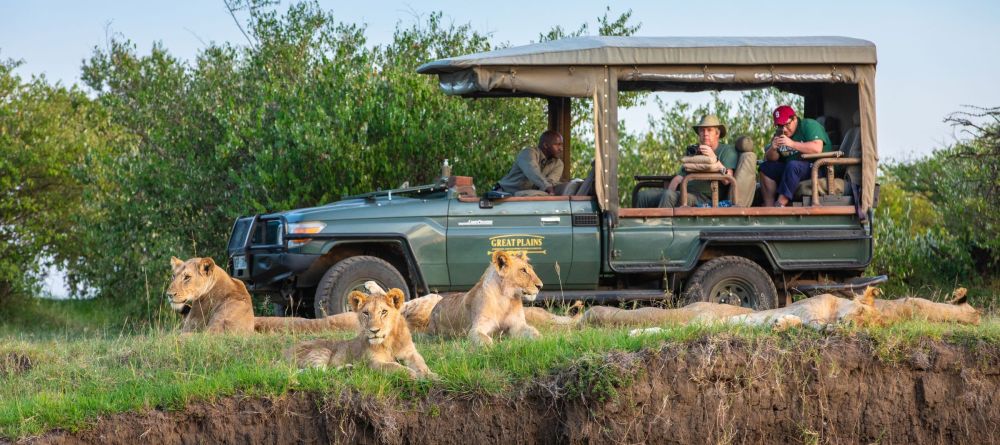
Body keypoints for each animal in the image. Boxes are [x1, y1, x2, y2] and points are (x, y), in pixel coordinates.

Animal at [286, 288, 434, 378]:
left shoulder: (411, 353)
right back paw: (349, 368)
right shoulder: (373, 363)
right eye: (366, 313)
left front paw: (431, 376)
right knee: (316, 372)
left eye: (384, 312)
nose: (374, 331)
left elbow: (422, 364)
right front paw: (412, 374)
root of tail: (285, 351)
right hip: (321, 351)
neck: (389, 341)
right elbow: (394, 366)